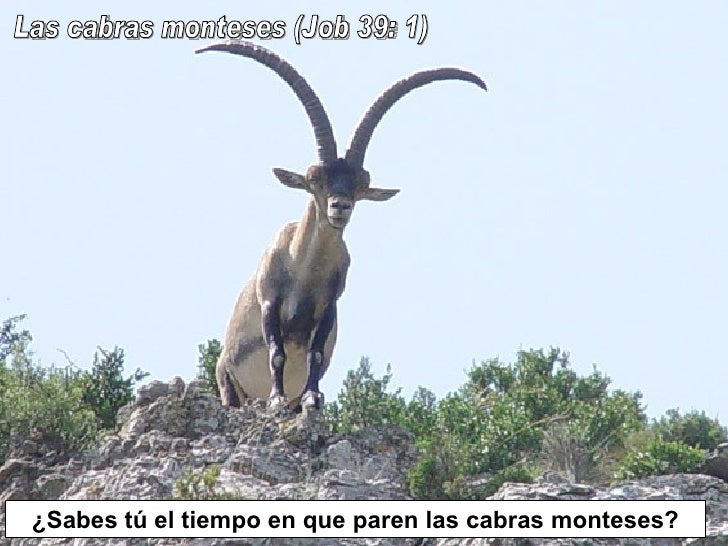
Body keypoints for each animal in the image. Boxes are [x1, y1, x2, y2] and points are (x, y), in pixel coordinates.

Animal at [196, 40, 487, 410]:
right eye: (314, 180)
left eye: (360, 185)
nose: (340, 207)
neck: (301, 270)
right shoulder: (270, 301)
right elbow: (276, 352)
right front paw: (276, 399)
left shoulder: (328, 308)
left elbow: (316, 355)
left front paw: (312, 398)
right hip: (228, 381)